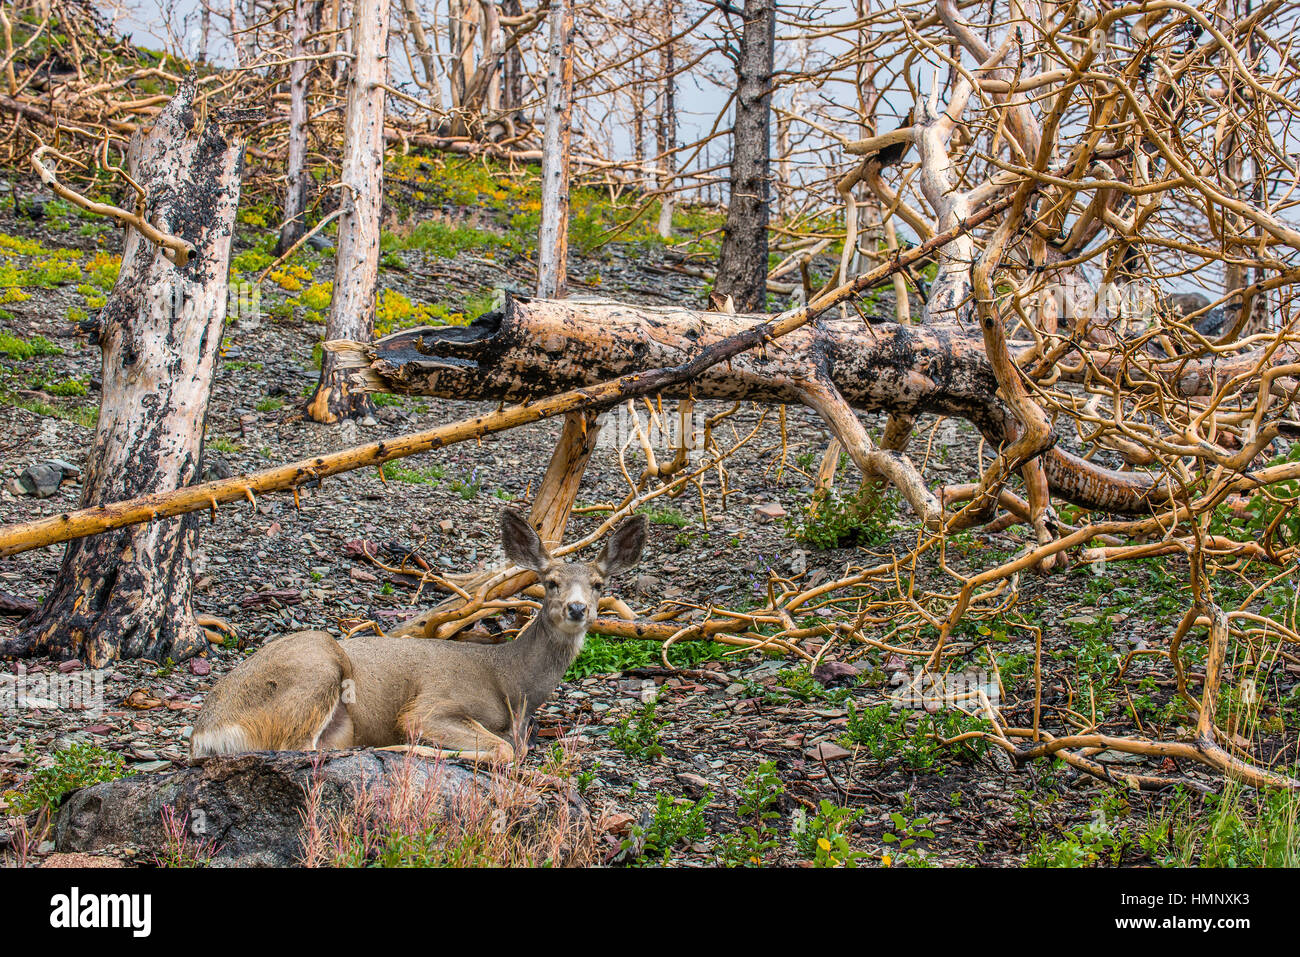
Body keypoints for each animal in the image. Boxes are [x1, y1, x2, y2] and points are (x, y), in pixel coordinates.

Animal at [187, 509, 644, 764]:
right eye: (550, 582)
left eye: (599, 584)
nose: (577, 609)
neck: (511, 683)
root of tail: (204, 733)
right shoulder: (432, 705)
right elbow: (504, 750)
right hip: (315, 667)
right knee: (296, 747)